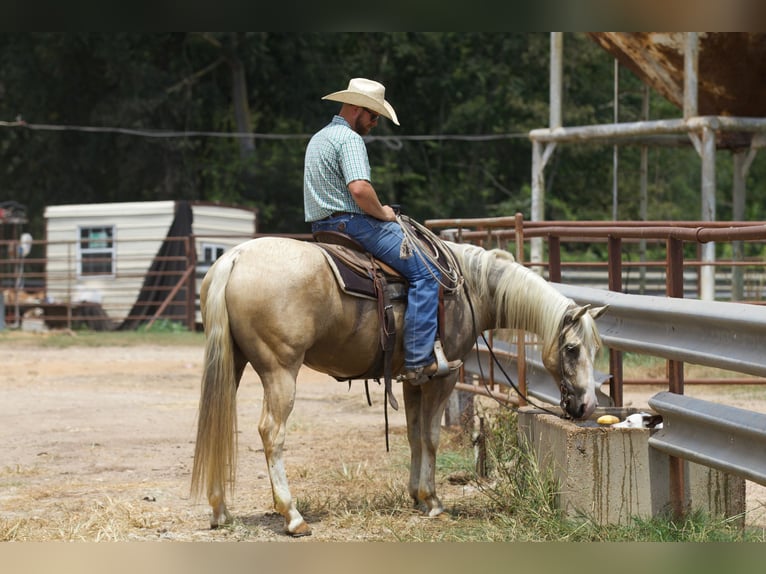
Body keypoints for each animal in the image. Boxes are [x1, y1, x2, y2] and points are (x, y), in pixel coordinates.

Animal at [194, 236, 612, 536]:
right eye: (572, 349)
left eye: (595, 348)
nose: (587, 406)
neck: (469, 289)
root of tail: (234, 259)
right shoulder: (443, 377)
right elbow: (431, 437)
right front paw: (433, 501)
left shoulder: (413, 380)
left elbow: (414, 435)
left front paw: (416, 496)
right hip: (281, 370)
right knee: (271, 432)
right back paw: (293, 517)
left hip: (234, 362)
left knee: (219, 425)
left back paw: (220, 510)